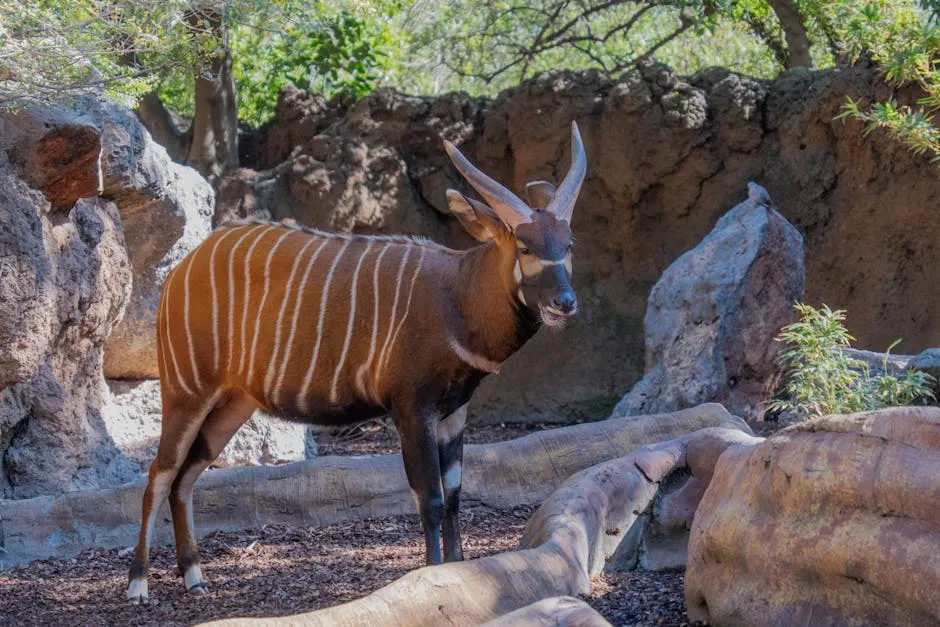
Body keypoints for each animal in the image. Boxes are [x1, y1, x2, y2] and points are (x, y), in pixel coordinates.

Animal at [127, 122, 586, 603]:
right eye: (525, 246)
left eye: (568, 243)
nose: (564, 302)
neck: (457, 295)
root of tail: (179, 271)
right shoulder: (411, 407)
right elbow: (430, 495)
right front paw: (432, 577)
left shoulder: (454, 411)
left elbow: (456, 494)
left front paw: (460, 572)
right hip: (186, 391)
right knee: (160, 473)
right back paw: (138, 586)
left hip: (231, 404)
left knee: (186, 475)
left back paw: (195, 577)